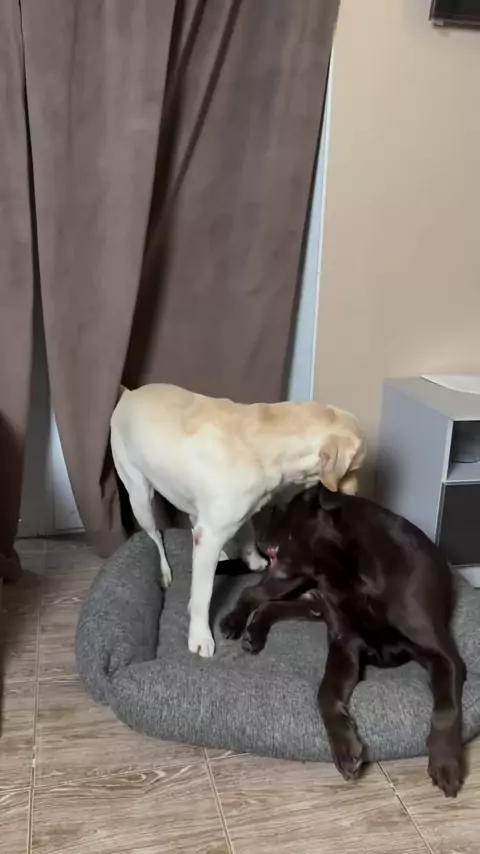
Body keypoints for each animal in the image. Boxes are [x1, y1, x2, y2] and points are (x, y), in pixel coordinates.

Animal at [110, 384, 365, 657]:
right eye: (354, 468)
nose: (356, 495)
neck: (266, 445)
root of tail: (130, 393)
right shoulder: (211, 534)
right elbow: (202, 596)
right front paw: (200, 636)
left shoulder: (238, 511)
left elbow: (247, 533)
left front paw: (253, 559)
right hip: (140, 498)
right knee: (156, 535)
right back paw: (166, 570)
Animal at [220, 484, 466, 797]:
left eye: (282, 509)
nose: (256, 535)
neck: (351, 572)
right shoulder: (344, 645)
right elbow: (325, 693)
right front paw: (345, 748)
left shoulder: (444, 656)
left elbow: (446, 709)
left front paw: (445, 762)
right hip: (292, 581)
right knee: (252, 592)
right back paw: (234, 622)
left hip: (308, 597)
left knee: (274, 604)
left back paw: (254, 632)